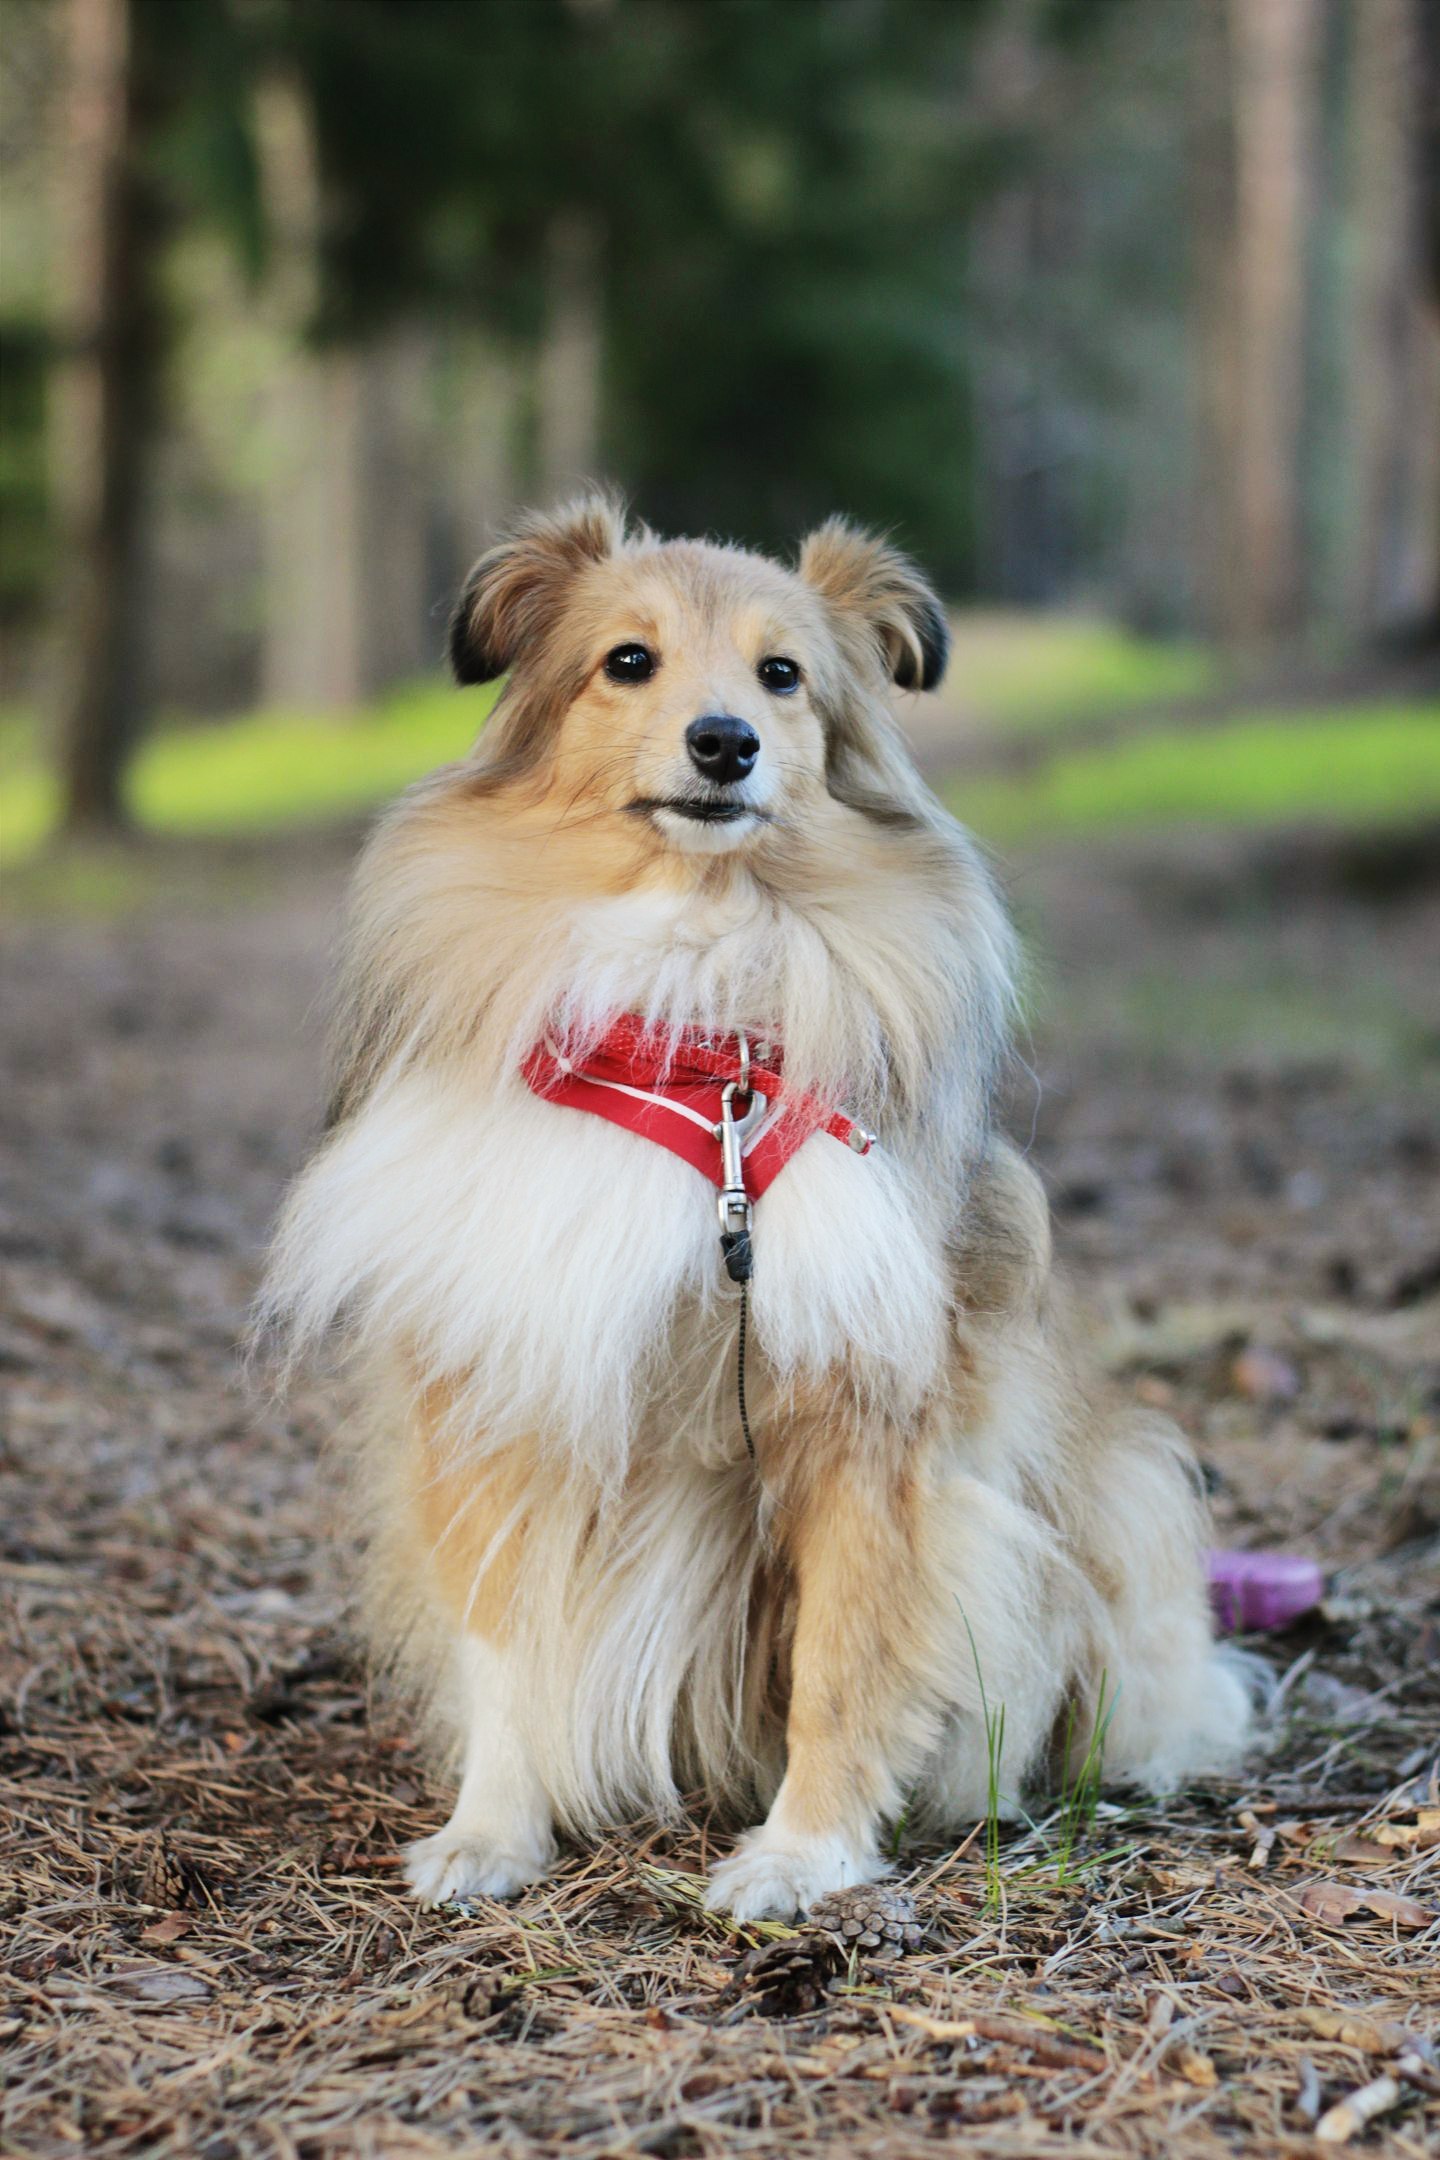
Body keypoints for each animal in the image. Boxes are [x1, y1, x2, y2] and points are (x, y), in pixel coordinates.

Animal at [262, 494, 1252, 1926]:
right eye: (627, 662)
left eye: (783, 675)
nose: (722, 742)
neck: (694, 1034)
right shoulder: (509, 1374)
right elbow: (507, 1641)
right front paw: (492, 1835)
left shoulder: (865, 1414)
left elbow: (846, 1655)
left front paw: (805, 1856)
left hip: (1114, 1504)